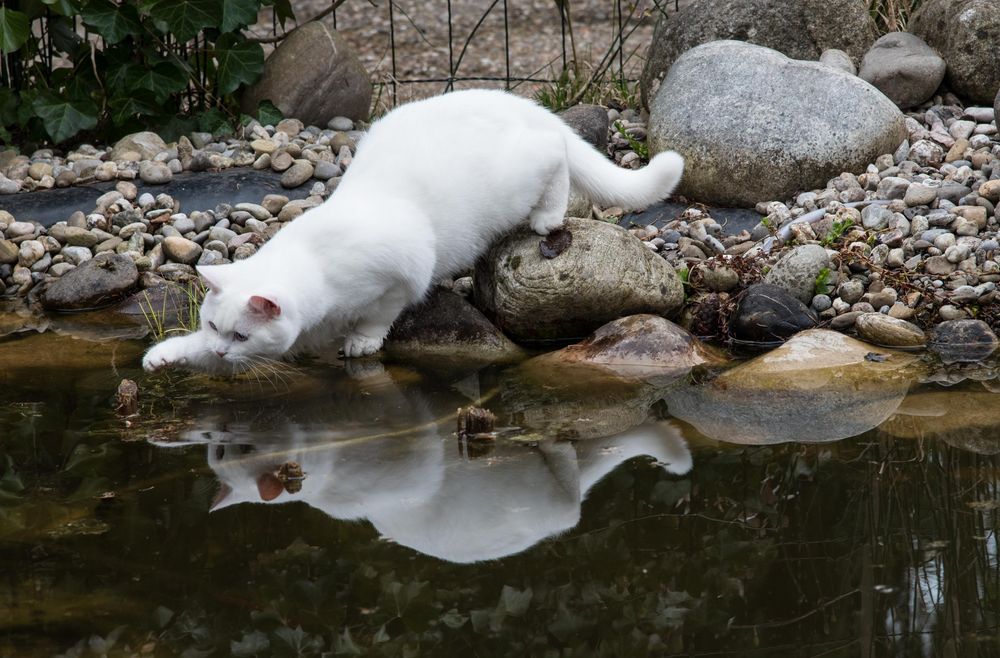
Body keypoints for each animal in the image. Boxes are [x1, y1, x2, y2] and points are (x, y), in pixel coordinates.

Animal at [145, 89, 684, 372]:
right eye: (213, 327)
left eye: (240, 335)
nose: (221, 347)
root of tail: (518, 100)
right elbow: (191, 353)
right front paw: (165, 356)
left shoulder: (402, 273)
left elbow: (381, 313)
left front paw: (362, 341)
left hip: (522, 169)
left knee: (556, 156)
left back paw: (547, 217)